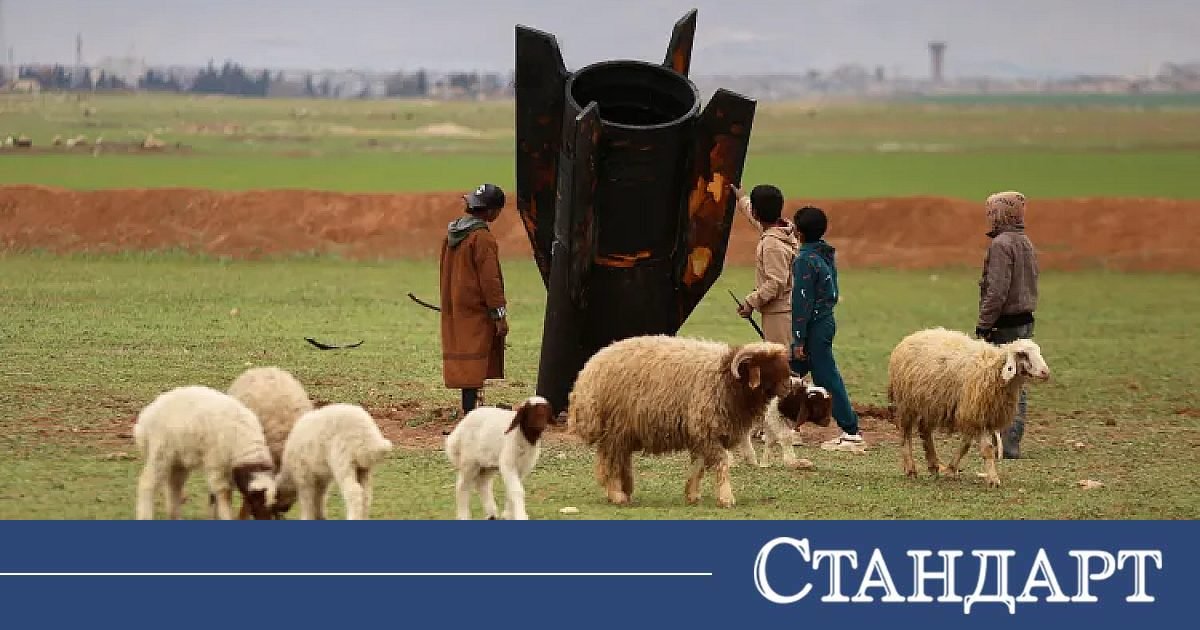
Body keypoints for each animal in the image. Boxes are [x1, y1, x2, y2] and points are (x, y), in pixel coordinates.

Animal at [133, 385, 278, 520]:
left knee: (173, 487)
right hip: (160, 452)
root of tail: (145, 416)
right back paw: (145, 515)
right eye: (256, 501)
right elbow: (223, 493)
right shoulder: (216, 463)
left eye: (272, 507)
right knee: (147, 483)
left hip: (178, 460)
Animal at [568, 335, 792, 508]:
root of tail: (586, 374)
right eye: (767, 365)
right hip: (614, 428)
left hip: (623, 430)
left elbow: (699, 466)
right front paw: (726, 498)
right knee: (611, 462)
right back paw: (617, 495)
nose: (789, 386)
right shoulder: (706, 430)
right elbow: (721, 463)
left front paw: (692, 494)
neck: (726, 377)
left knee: (619, 459)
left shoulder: (700, 434)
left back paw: (625, 490)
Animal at [887, 327, 1050, 487]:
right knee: (906, 434)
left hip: (932, 403)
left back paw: (933, 465)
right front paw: (993, 479)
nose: (1046, 373)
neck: (994, 371)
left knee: (925, 430)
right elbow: (988, 449)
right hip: (907, 402)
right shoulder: (977, 414)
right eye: (1023, 354)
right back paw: (911, 469)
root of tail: (914, 335)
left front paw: (951, 469)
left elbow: (965, 445)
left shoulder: (976, 415)